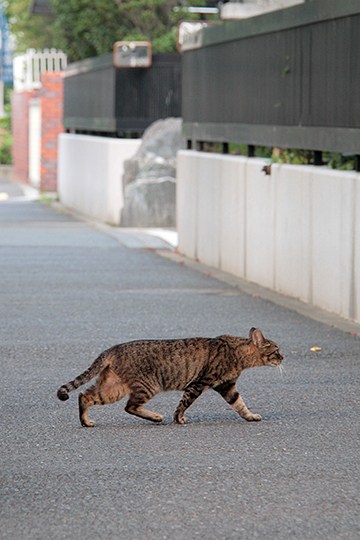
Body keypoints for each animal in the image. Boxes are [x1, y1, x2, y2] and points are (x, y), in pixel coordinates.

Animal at [57, 326, 282, 428]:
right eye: (276, 350)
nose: (283, 357)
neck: (237, 354)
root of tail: (112, 349)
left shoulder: (227, 386)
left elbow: (240, 404)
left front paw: (250, 416)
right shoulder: (199, 383)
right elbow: (184, 403)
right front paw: (179, 418)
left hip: (113, 387)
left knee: (85, 396)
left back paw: (86, 421)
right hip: (147, 385)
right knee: (130, 406)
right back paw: (156, 417)